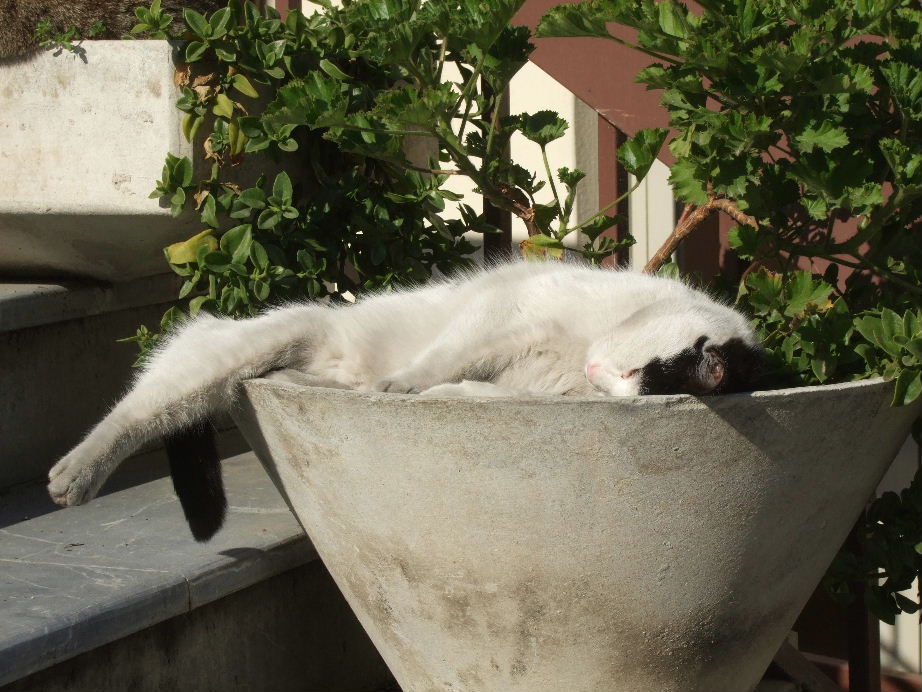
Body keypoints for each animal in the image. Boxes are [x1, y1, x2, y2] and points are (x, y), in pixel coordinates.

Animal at [45, 260, 760, 540]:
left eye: (629, 386)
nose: (594, 370)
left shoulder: (520, 384)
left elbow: (468, 388)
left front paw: (429, 393)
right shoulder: (506, 312)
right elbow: (442, 360)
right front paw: (408, 387)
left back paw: (339, 388)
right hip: (234, 350)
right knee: (151, 397)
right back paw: (74, 476)